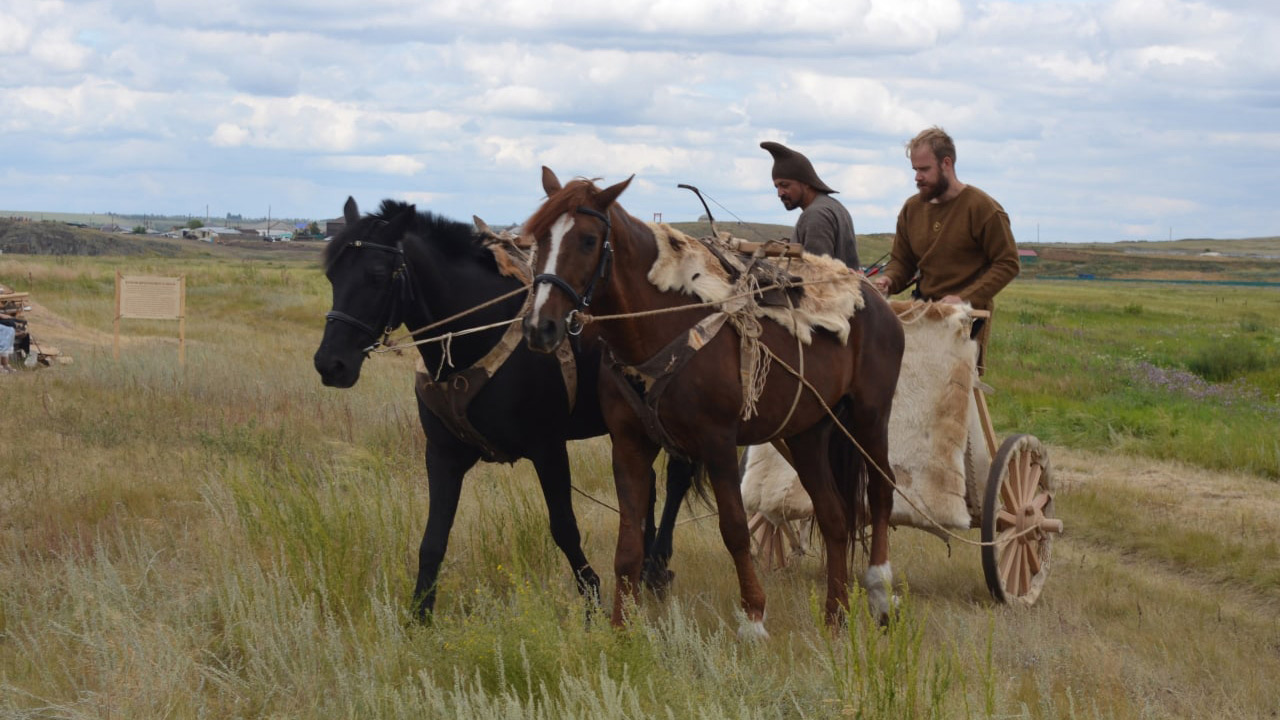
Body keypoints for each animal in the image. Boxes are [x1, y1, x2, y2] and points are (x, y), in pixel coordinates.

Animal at [314, 196, 696, 617]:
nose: (331, 364)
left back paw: (657, 565)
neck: (479, 331)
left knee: (677, 478)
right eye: (332, 275)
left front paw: (592, 600)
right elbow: (433, 539)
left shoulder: (549, 450)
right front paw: (419, 616)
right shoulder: (443, 454)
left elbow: (564, 528)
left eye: (378, 275)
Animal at [517, 169, 901, 632]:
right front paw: (621, 628)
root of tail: (874, 298)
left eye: (589, 240)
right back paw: (835, 616)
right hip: (808, 431)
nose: (540, 327)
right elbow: (628, 543)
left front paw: (753, 619)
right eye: (537, 239)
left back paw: (880, 592)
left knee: (881, 491)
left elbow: (734, 530)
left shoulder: (717, 443)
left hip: (870, 417)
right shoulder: (628, 445)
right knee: (833, 516)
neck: (662, 325)